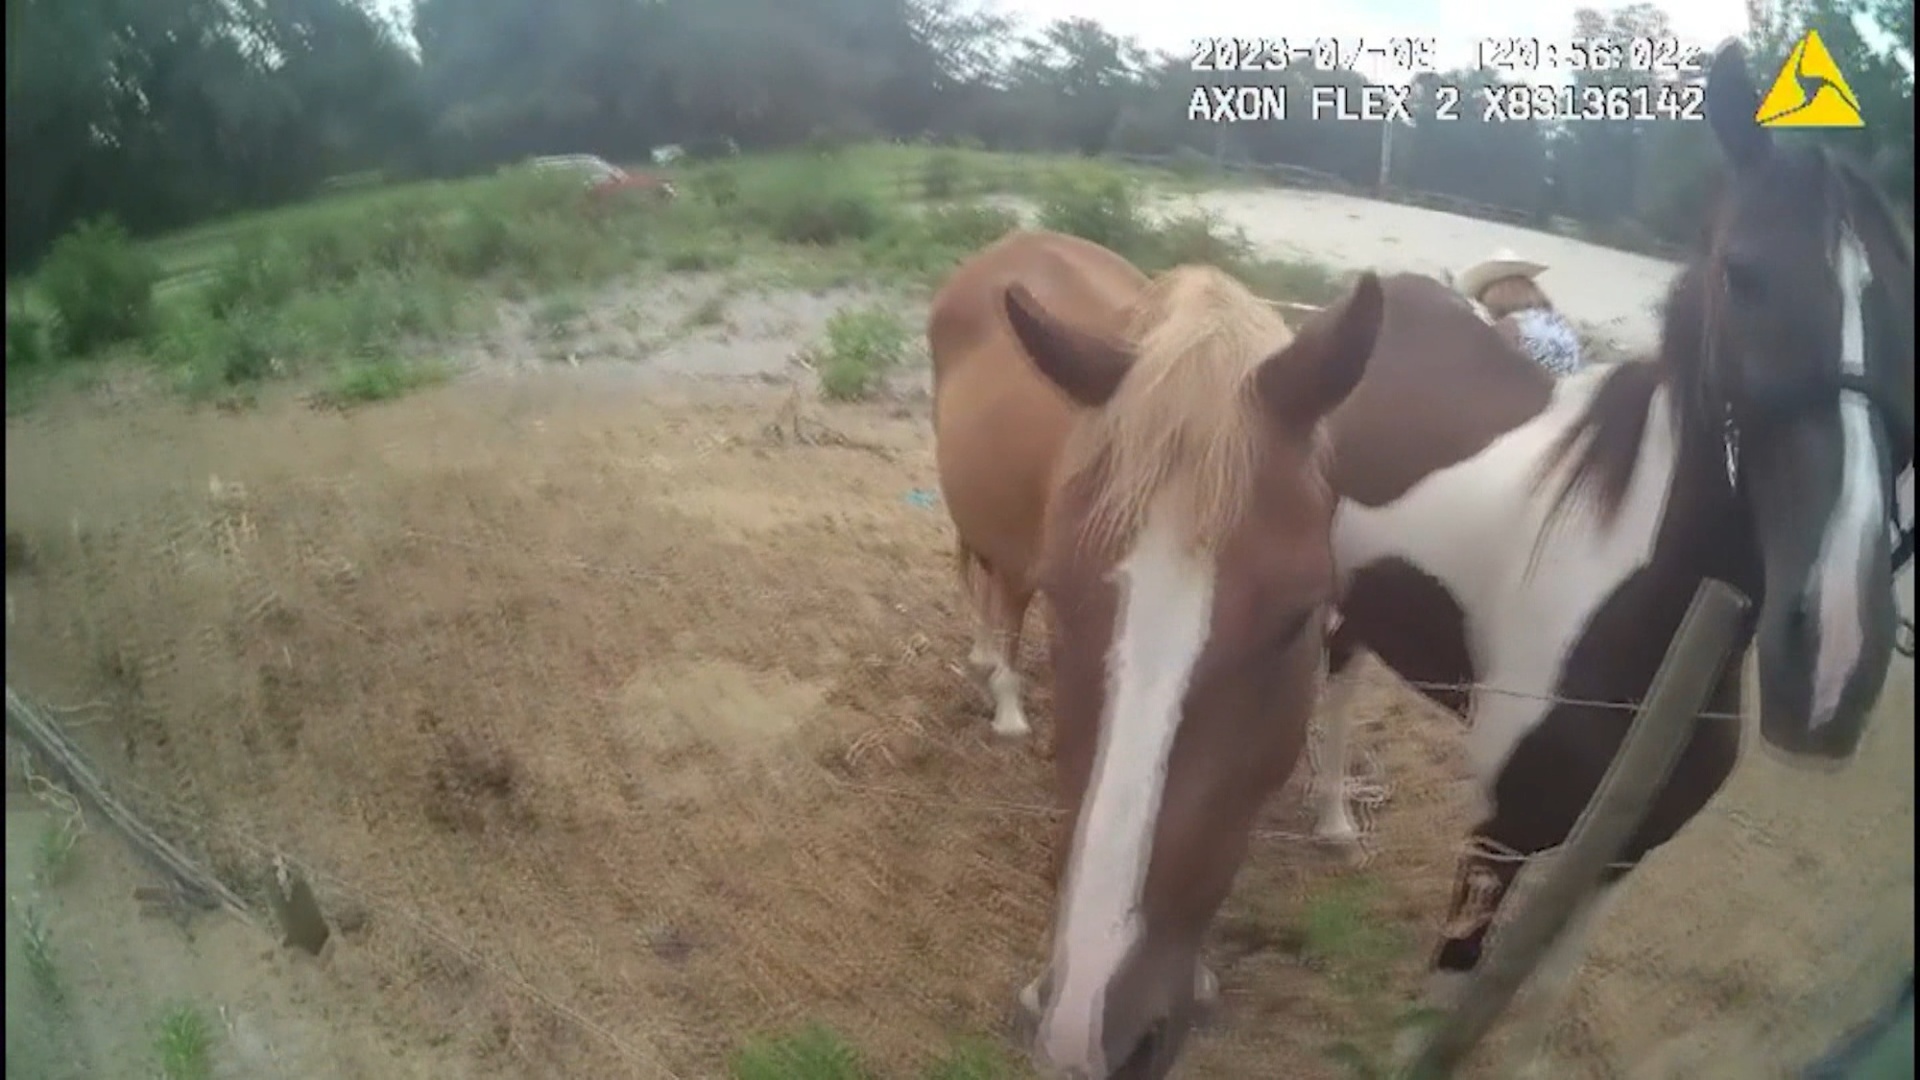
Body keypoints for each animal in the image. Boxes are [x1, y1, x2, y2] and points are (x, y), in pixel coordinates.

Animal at [1308, 41, 1915, 1073]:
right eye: (1742, 274)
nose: (1835, 658)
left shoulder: (1619, 855)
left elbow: (1543, 997)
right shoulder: (1502, 834)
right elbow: (1452, 993)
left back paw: (1338, 828)